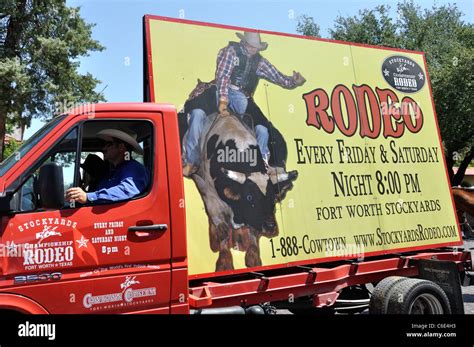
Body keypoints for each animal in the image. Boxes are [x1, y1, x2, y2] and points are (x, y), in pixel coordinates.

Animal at [178, 83, 296, 272]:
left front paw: (253, 258)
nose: (270, 226)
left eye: (273, 197)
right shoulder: (209, 193)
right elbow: (222, 227)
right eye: (249, 196)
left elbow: (253, 230)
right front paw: (224, 262)